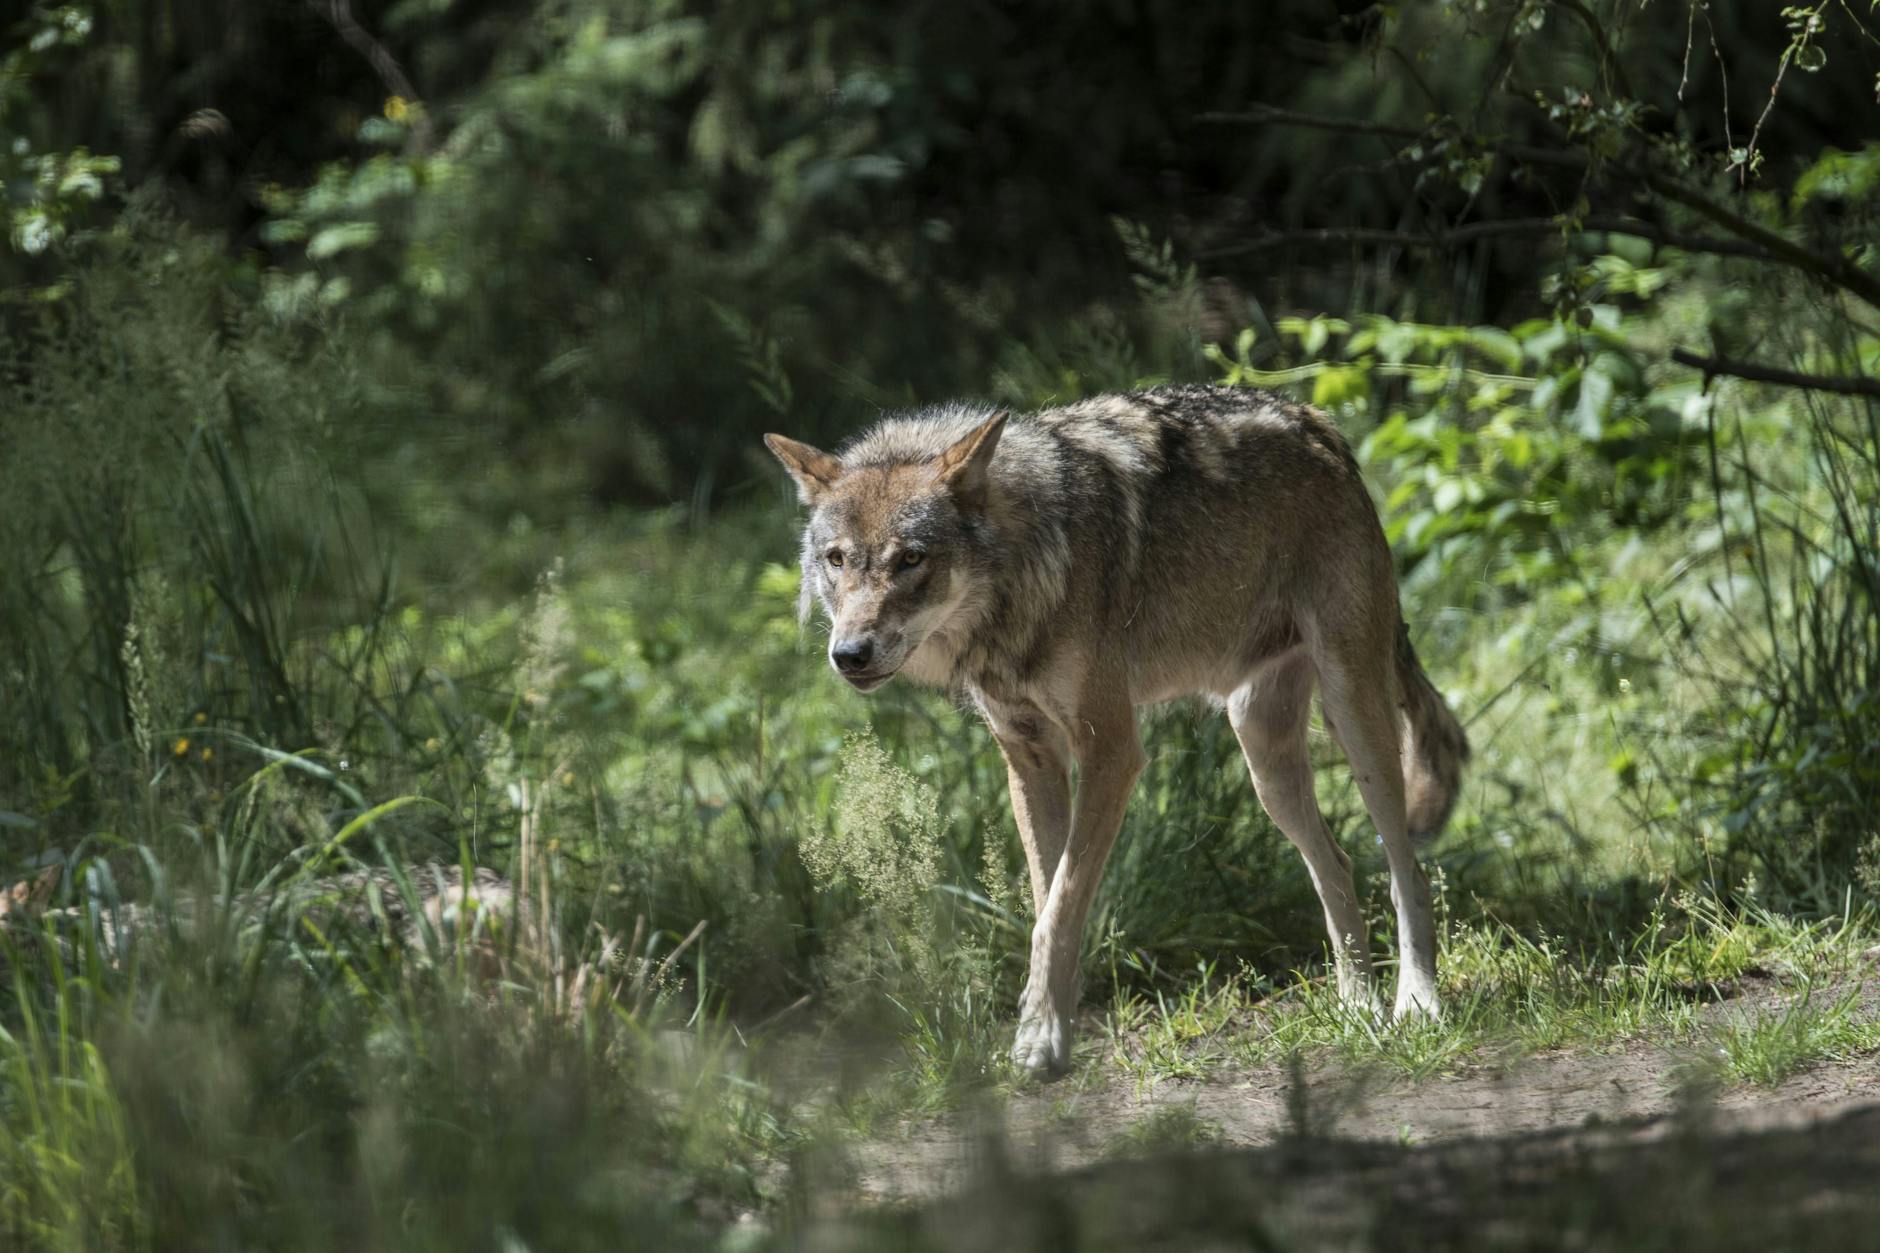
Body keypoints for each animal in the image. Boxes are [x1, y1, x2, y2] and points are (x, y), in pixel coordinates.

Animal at [766, 383, 1469, 1076]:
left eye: (911, 559)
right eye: (836, 560)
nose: (849, 654)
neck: (1022, 576)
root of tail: (1320, 425)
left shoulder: (1111, 751)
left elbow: (1057, 910)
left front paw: (1040, 1039)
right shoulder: (1030, 758)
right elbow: (1049, 902)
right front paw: (1049, 1028)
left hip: (1356, 718)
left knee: (1405, 870)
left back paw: (1416, 1003)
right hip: (1264, 761)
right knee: (1337, 865)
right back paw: (1357, 1007)